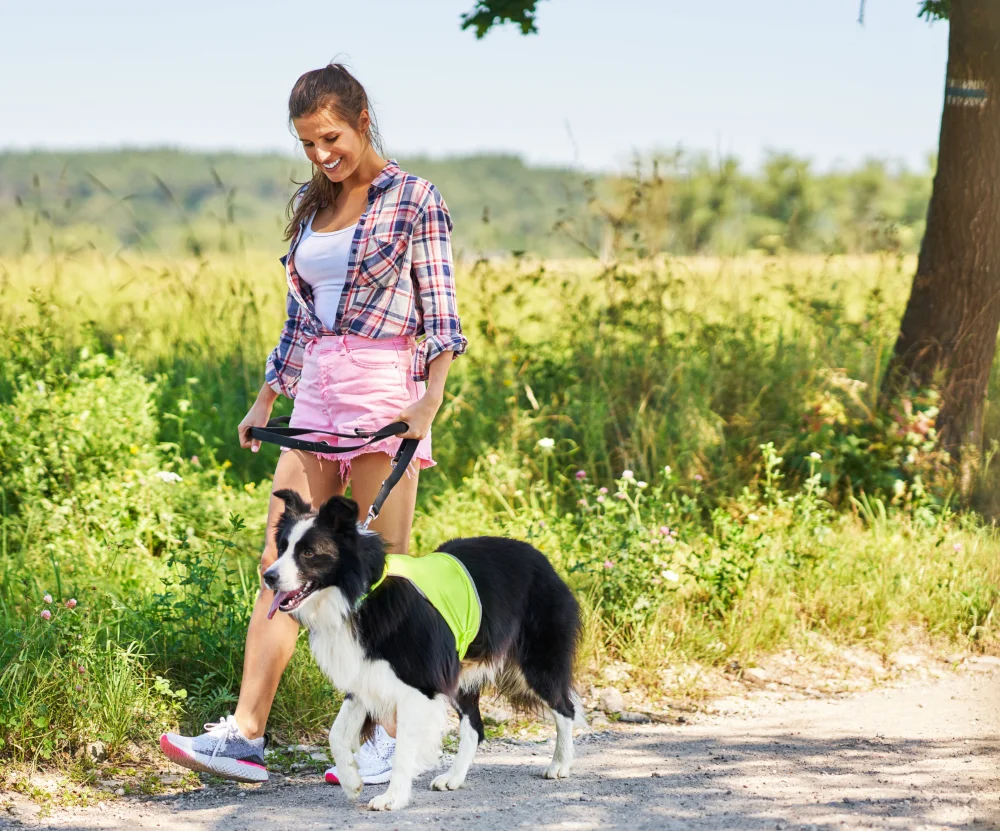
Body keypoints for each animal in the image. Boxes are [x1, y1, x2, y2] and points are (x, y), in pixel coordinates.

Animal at [262, 494, 584, 812]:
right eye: (282, 547)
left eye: (308, 553)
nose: (268, 576)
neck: (363, 591)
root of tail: (542, 559)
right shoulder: (364, 674)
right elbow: (336, 734)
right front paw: (352, 782)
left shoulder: (419, 685)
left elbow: (404, 747)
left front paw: (393, 797)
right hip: (459, 672)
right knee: (475, 728)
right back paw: (453, 777)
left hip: (537, 662)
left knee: (565, 708)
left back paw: (560, 764)